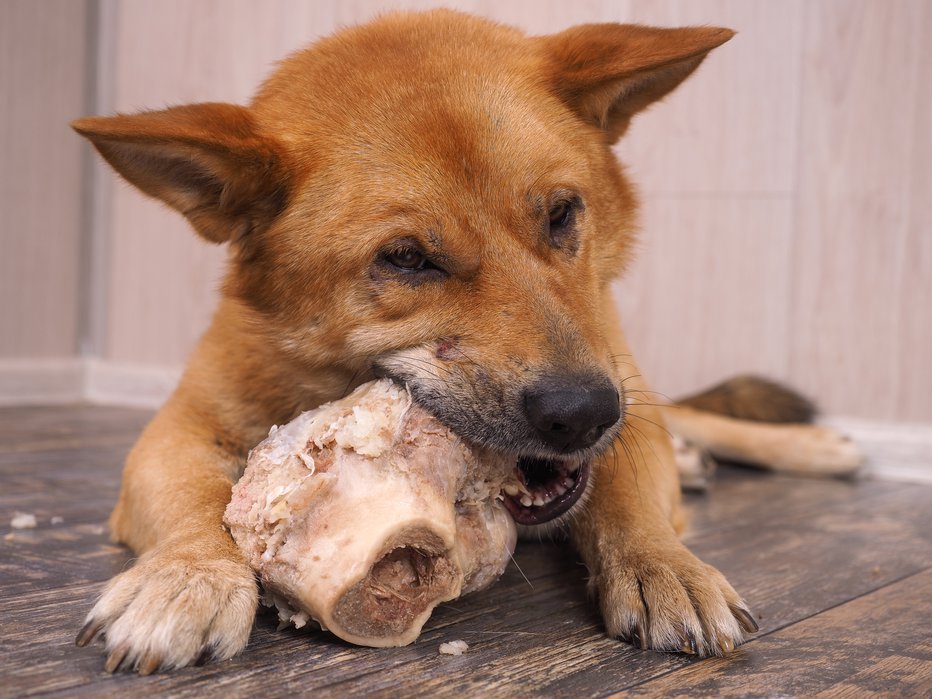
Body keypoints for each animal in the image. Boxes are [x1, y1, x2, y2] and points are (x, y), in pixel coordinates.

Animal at [69, 6, 864, 672]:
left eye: (562, 213)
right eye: (406, 258)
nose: (583, 415)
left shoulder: (621, 391)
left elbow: (628, 492)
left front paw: (663, 563)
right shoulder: (176, 429)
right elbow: (191, 496)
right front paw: (187, 575)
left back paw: (812, 447)